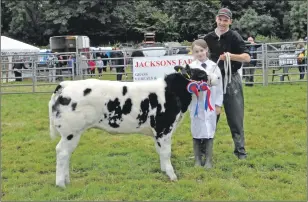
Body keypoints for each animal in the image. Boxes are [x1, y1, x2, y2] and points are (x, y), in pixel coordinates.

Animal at [48, 64, 214, 188]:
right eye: (201, 73)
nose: (216, 78)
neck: (172, 92)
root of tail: (65, 85)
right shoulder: (164, 129)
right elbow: (166, 152)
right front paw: (172, 175)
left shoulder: (158, 132)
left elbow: (160, 151)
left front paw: (163, 171)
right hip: (71, 132)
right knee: (62, 152)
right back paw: (61, 184)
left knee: (67, 153)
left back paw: (66, 180)